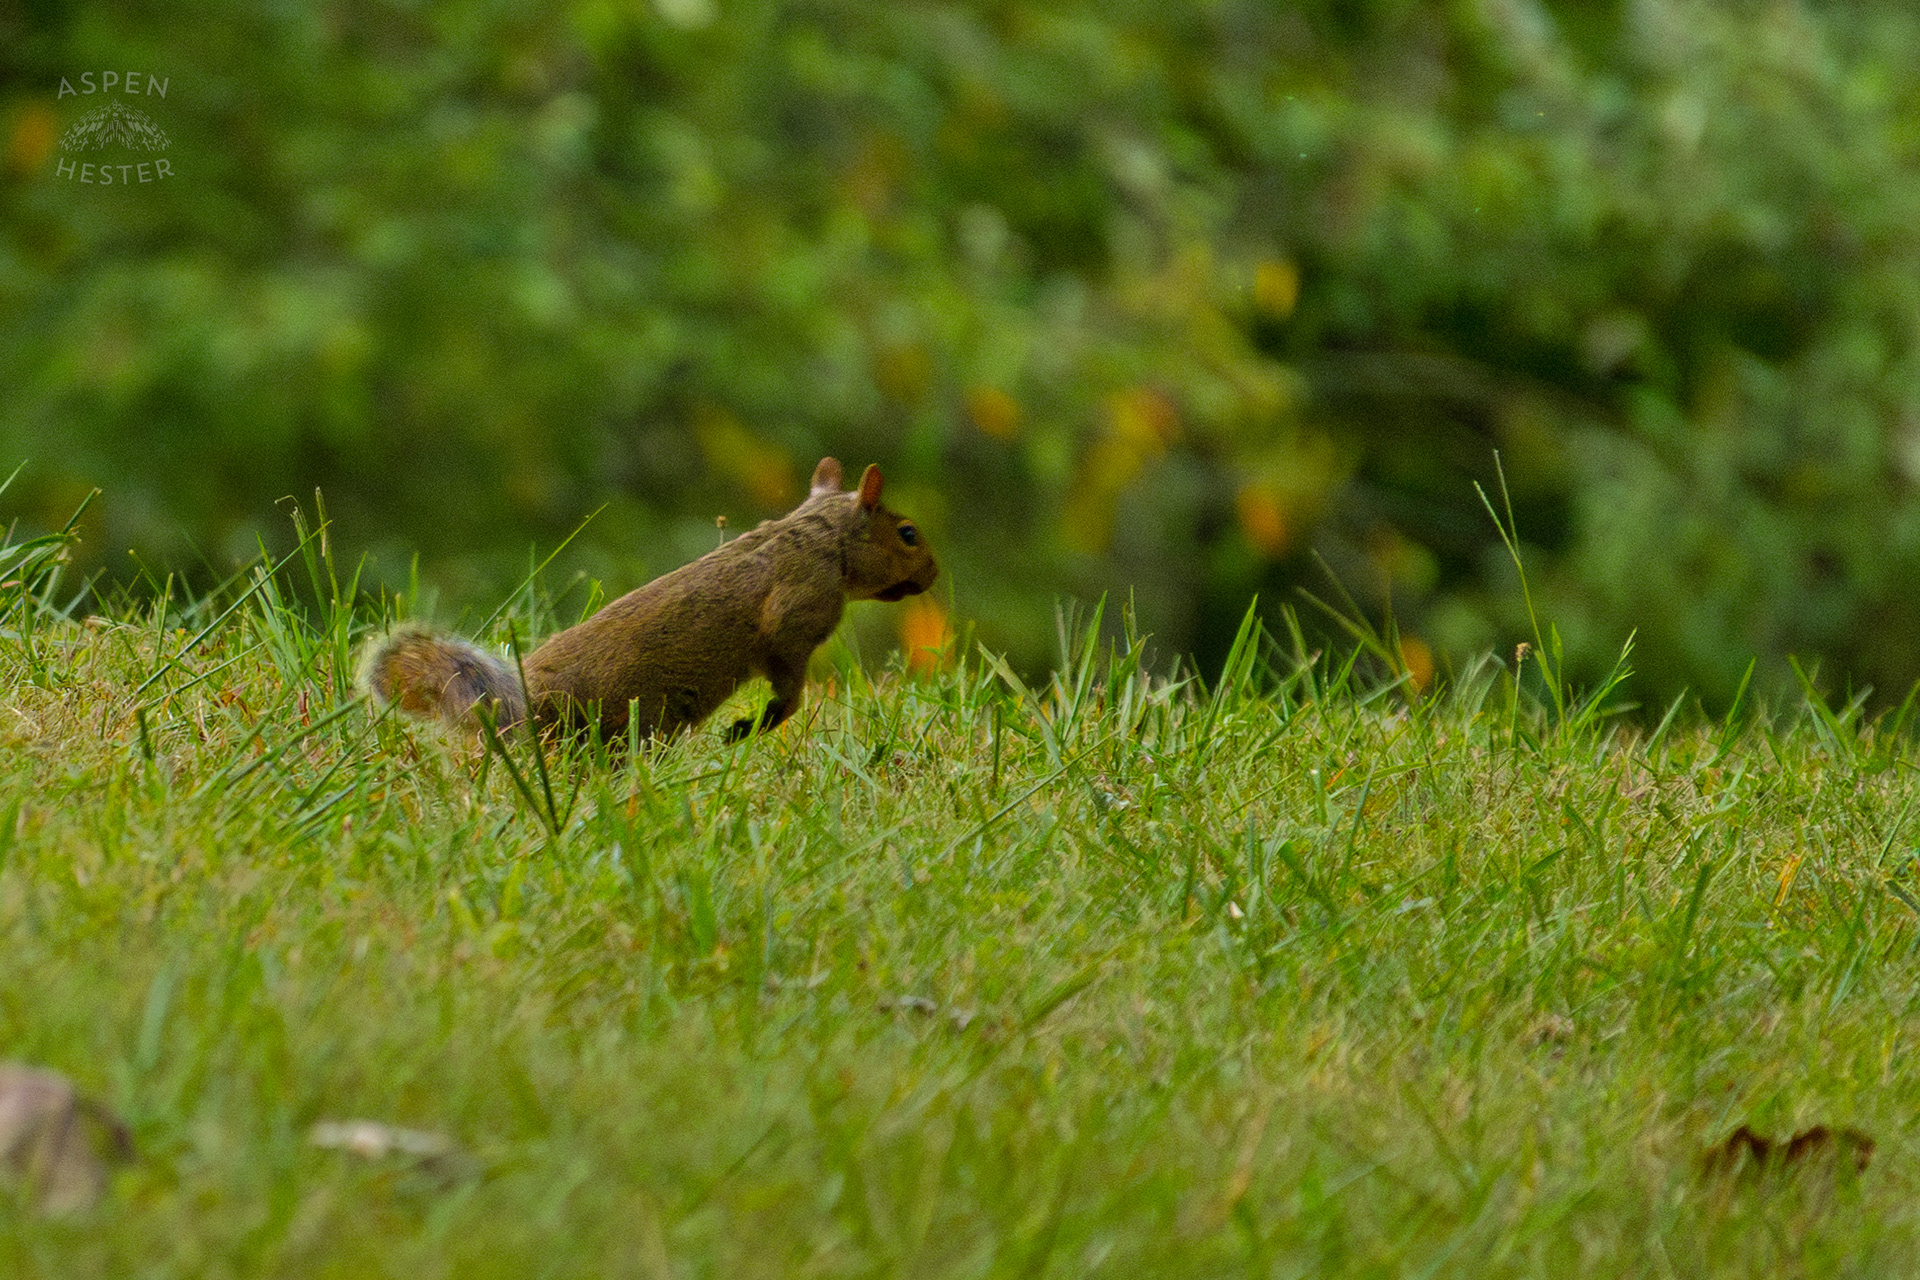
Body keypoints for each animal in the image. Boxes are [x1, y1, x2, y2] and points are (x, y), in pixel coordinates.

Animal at [360, 457, 939, 741]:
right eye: (908, 534)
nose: (934, 574)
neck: (821, 538)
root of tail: (527, 709)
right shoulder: (796, 615)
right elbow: (790, 689)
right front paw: (752, 726)